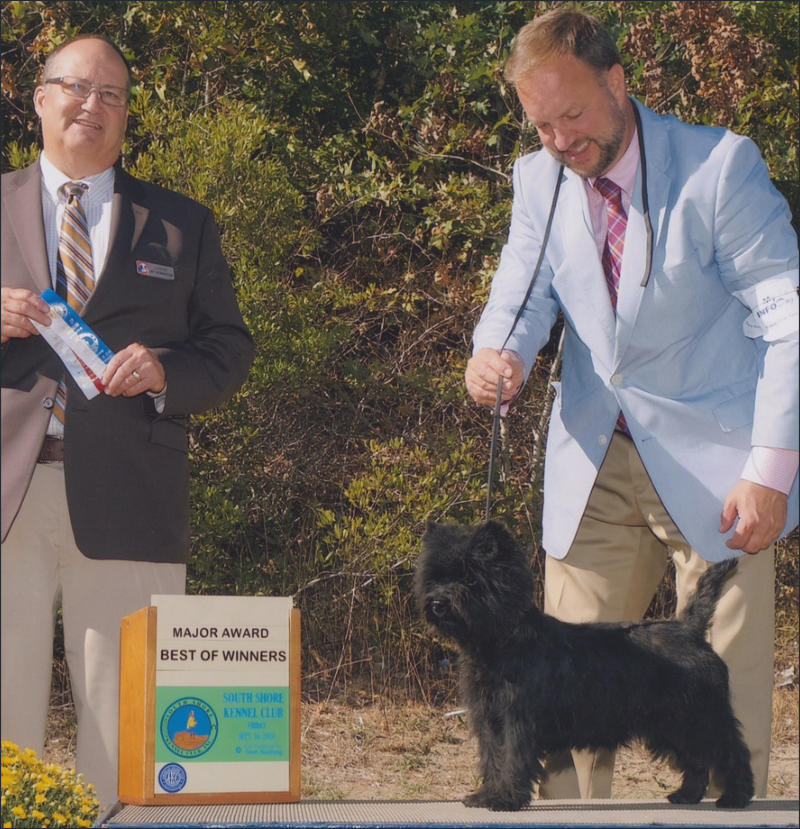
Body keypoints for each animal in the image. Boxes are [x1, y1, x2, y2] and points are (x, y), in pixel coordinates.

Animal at [415, 520, 754, 811]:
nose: (437, 603)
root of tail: (690, 629)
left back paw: (735, 797)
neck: (500, 642)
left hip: (698, 716)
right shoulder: (489, 720)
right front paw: (487, 795)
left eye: (471, 579)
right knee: (696, 758)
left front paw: (505, 799)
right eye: (436, 578)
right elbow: (492, 758)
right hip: (670, 724)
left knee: (731, 750)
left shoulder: (516, 719)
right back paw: (687, 794)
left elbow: (511, 758)